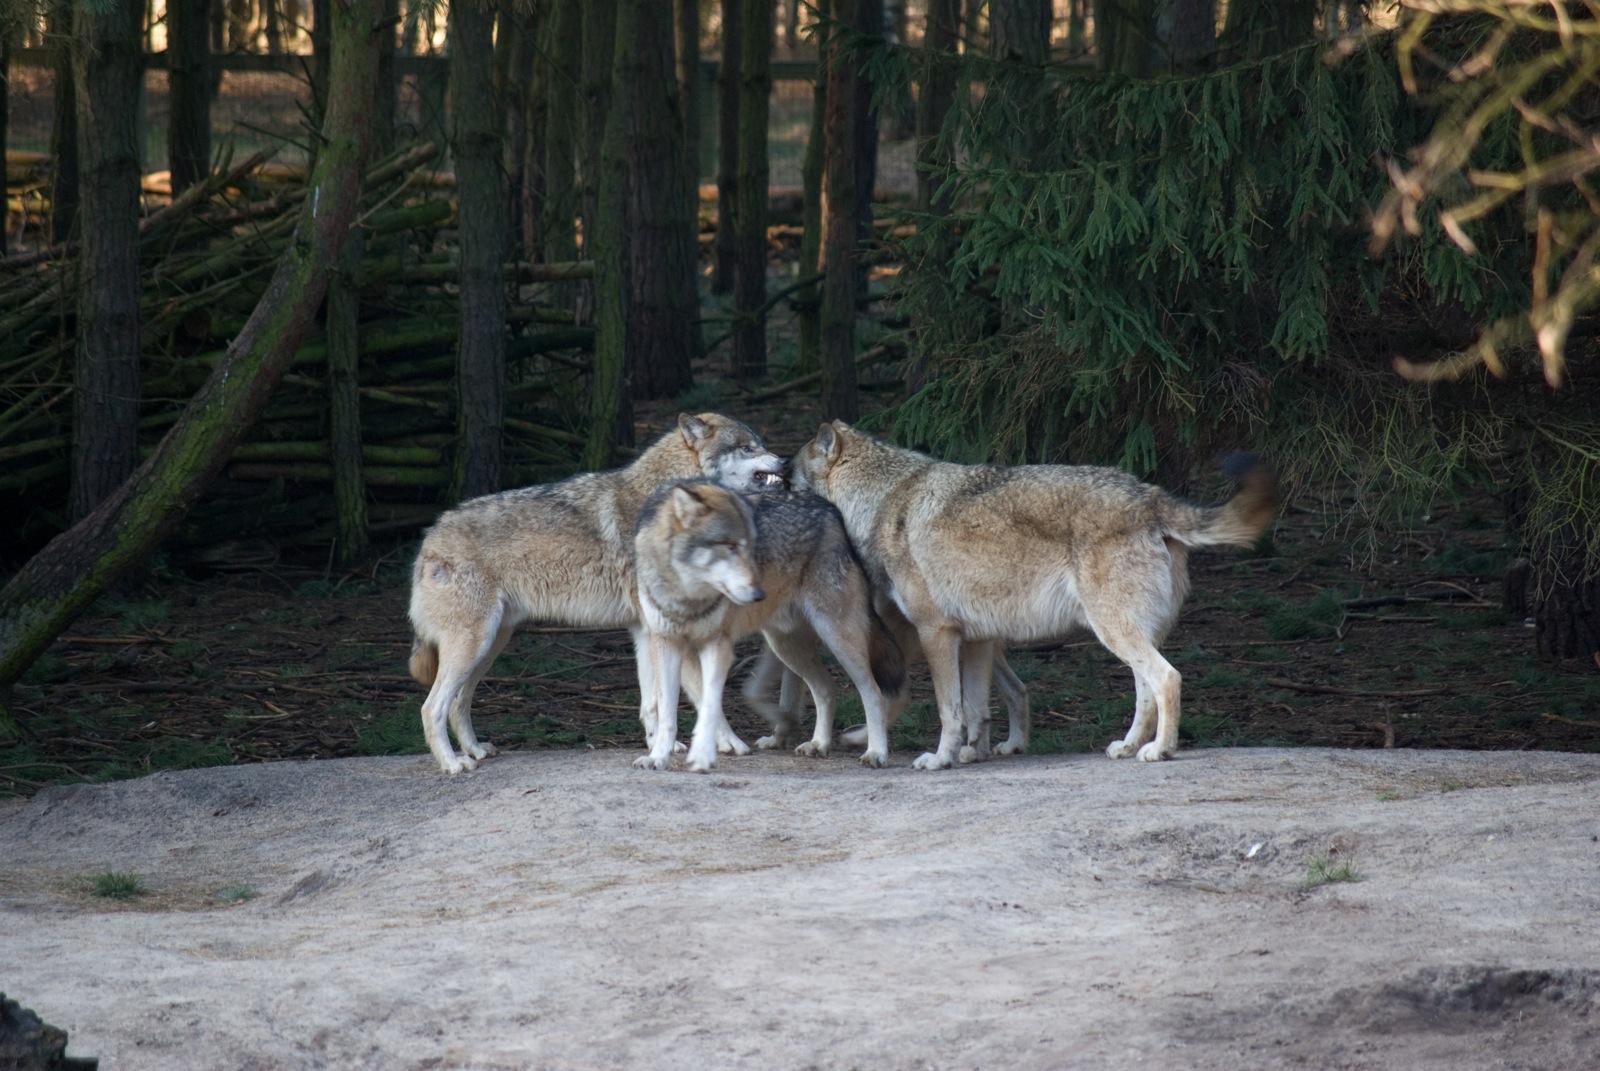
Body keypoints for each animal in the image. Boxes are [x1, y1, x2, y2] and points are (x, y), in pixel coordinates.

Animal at [409, 413, 784, 771]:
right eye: (749, 447)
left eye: (761, 443)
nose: (783, 461)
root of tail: (430, 535)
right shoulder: (664, 628)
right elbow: (701, 696)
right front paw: (730, 743)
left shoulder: (644, 631)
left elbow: (652, 702)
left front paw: (657, 748)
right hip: (473, 645)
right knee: (431, 707)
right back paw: (453, 764)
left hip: (489, 646)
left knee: (458, 702)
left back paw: (475, 751)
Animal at [630, 480, 908, 771]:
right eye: (730, 547)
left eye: (752, 547)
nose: (758, 594)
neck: (688, 598)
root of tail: (829, 509)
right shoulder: (666, 644)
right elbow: (667, 715)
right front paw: (658, 757)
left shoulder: (717, 645)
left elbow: (709, 706)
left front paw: (704, 755)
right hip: (785, 646)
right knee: (825, 689)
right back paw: (819, 743)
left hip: (839, 640)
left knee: (873, 693)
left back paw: (876, 752)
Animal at [787, 416, 1273, 768]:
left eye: (788, 478)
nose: (774, 479)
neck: (882, 499)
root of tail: (1152, 497)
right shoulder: (977, 640)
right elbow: (975, 708)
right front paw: (971, 755)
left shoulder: (936, 634)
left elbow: (949, 710)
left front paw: (940, 759)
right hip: (1125, 634)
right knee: (1145, 691)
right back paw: (1128, 746)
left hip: (1114, 631)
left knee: (1167, 679)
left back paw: (1160, 751)